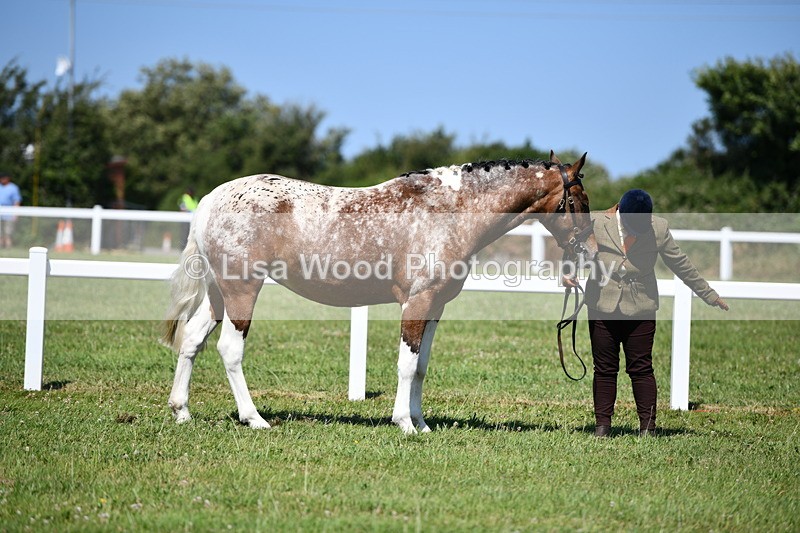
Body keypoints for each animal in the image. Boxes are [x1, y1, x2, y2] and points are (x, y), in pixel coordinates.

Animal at [162, 150, 597, 434]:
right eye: (580, 199)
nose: (590, 250)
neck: (450, 210)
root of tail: (209, 200)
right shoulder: (417, 301)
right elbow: (406, 363)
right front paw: (404, 423)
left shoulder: (436, 305)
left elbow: (421, 366)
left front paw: (421, 423)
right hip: (242, 291)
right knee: (229, 350)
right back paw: (254, 419)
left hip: (218, 294)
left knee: (193, 340)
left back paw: (181, 411)